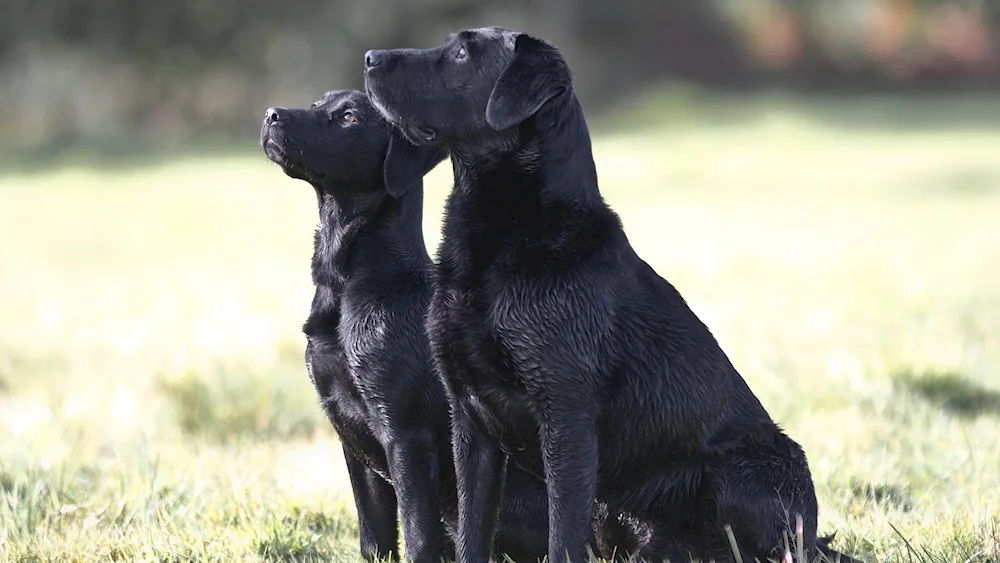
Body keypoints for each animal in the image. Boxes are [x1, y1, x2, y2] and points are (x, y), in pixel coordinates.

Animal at [258, 90, 556, 560]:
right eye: (318, 103)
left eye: (349, 117)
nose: (271, 114)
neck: (349, 288)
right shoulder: (351, 438)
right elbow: (375, 538)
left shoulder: (406, 436)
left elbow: (416, 538)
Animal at [364, 28, 856, 563]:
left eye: (460, 54)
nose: (369, 58)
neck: (507, 244)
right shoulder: (470, 420)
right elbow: (474, 530)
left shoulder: (566, 414)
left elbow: (561, 535)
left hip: (743, 470)